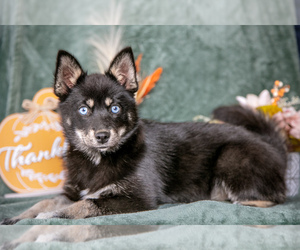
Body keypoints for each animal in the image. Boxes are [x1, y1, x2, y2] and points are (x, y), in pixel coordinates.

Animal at [0, 47, 288, 225]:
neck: (98, 160)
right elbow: (47, 200)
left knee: (268, 200)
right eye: (83, 109)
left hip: (232, 156)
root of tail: (272, 146)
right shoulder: (73, 191)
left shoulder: (136, 198)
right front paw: (21, 216)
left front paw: (53, 217)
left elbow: (87, 204)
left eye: (115, 108)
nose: (102, 135)